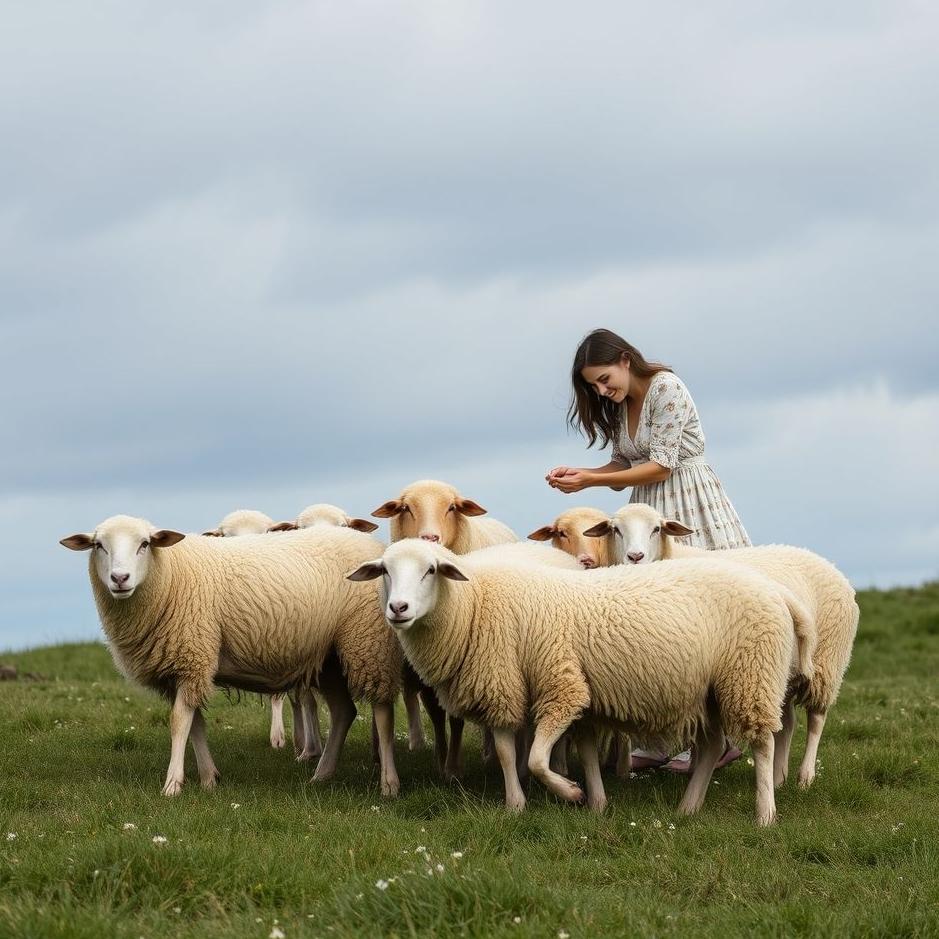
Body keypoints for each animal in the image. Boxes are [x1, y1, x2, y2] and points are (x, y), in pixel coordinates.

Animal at [349, 538, 814, 825]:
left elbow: (538, 759)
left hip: (750, 676)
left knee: (763, 742)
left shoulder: (561, 686)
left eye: (430, 570)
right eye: (384, 571)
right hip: (711, 690)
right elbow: (512, 752)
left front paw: (570, 794)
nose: (398, 608)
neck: (475, 604)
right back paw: (688, 808)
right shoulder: (507, 688)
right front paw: (526, 805)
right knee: (714, 745)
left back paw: (765, 813)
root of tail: (777, 592)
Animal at [371, 479, 519, 775]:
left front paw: (453, 766)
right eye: (406, 508)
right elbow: (436, 713)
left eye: (451, 507)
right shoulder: (429, 664)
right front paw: (440, 760)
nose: (429, 538)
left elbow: (456, 717)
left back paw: (489, 753)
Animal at [582, 502, 859, 788]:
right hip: (779, 672)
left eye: (656, 529)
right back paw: (778, 777)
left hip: (826, 660)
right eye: (615, 529)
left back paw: (805, 776)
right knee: (788, 723)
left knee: (816, 718)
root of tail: (827, 563)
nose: (635, 556)